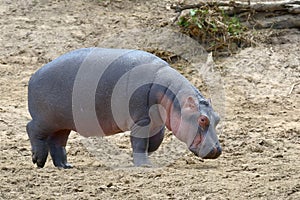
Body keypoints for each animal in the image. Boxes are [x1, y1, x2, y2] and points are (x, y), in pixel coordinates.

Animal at [27, 47, 221, 168]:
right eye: (202, 119)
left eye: (217, 118)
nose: (217, 150)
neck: (169, 93)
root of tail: (34, 75)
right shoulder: (142, 121)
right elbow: (140, 142)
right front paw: (144, 164)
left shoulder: (156, 123)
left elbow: (155, 141)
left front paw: (143, 155)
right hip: (45, 119)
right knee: (32, 129)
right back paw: (38, 160)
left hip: (62, 122)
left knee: (57, 141)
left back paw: (65, 166)